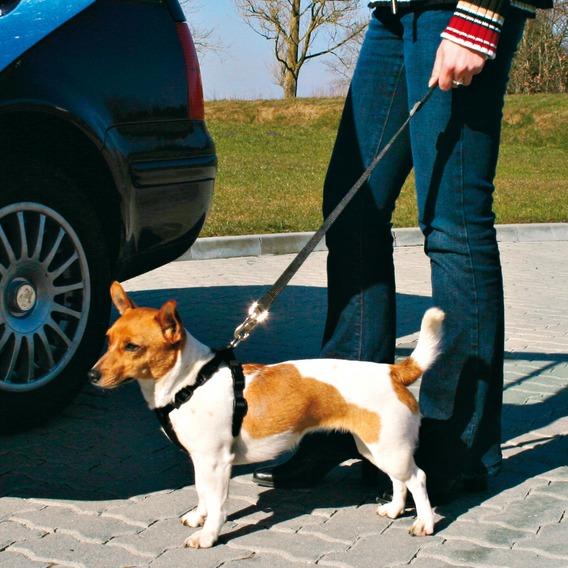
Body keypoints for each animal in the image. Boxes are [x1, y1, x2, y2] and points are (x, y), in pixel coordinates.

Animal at [91, 282, 446, 548]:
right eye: (108, 340)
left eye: (132, 347)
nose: (91, 375)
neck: (191, 381)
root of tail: (395, 371)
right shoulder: (201, 462)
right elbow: (202, 494)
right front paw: (198, 517)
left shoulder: (216, 463)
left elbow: (217, 504)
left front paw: (208, 535)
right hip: (375, 448)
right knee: (400, 481)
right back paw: (395, 509)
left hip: (389, 449)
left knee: (418, 479)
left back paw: (425, 523)